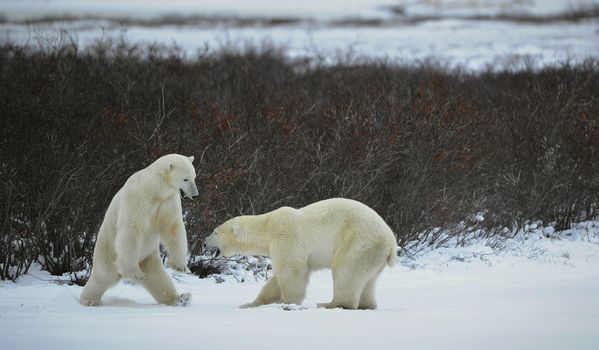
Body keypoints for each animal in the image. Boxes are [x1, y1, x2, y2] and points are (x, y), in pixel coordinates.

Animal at [79, 154, 199, 306]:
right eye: (185, 179)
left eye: (194, 177)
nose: (195, 195)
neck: (155, 189)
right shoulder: (138, 198)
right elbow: (131, 229)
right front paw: (134, 273)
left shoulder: (168, 201)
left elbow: (172, 227)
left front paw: (181, 266)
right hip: (107, 250)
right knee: (103, 276)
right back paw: (90, 300)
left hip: (148, 258)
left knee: (158, 277)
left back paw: (180, 298)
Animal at [206, 198, 398, 310]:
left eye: (215, 232)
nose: (204, 242)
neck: (267, 227)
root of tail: (391, 242)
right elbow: (276, 281)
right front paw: (250, 303)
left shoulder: (286, 237)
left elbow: (291, 271)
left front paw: (287, 301)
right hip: (373, 253)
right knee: (368, 280)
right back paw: (367, 305)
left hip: (358, 241)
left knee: (345, 270)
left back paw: (330, 304)